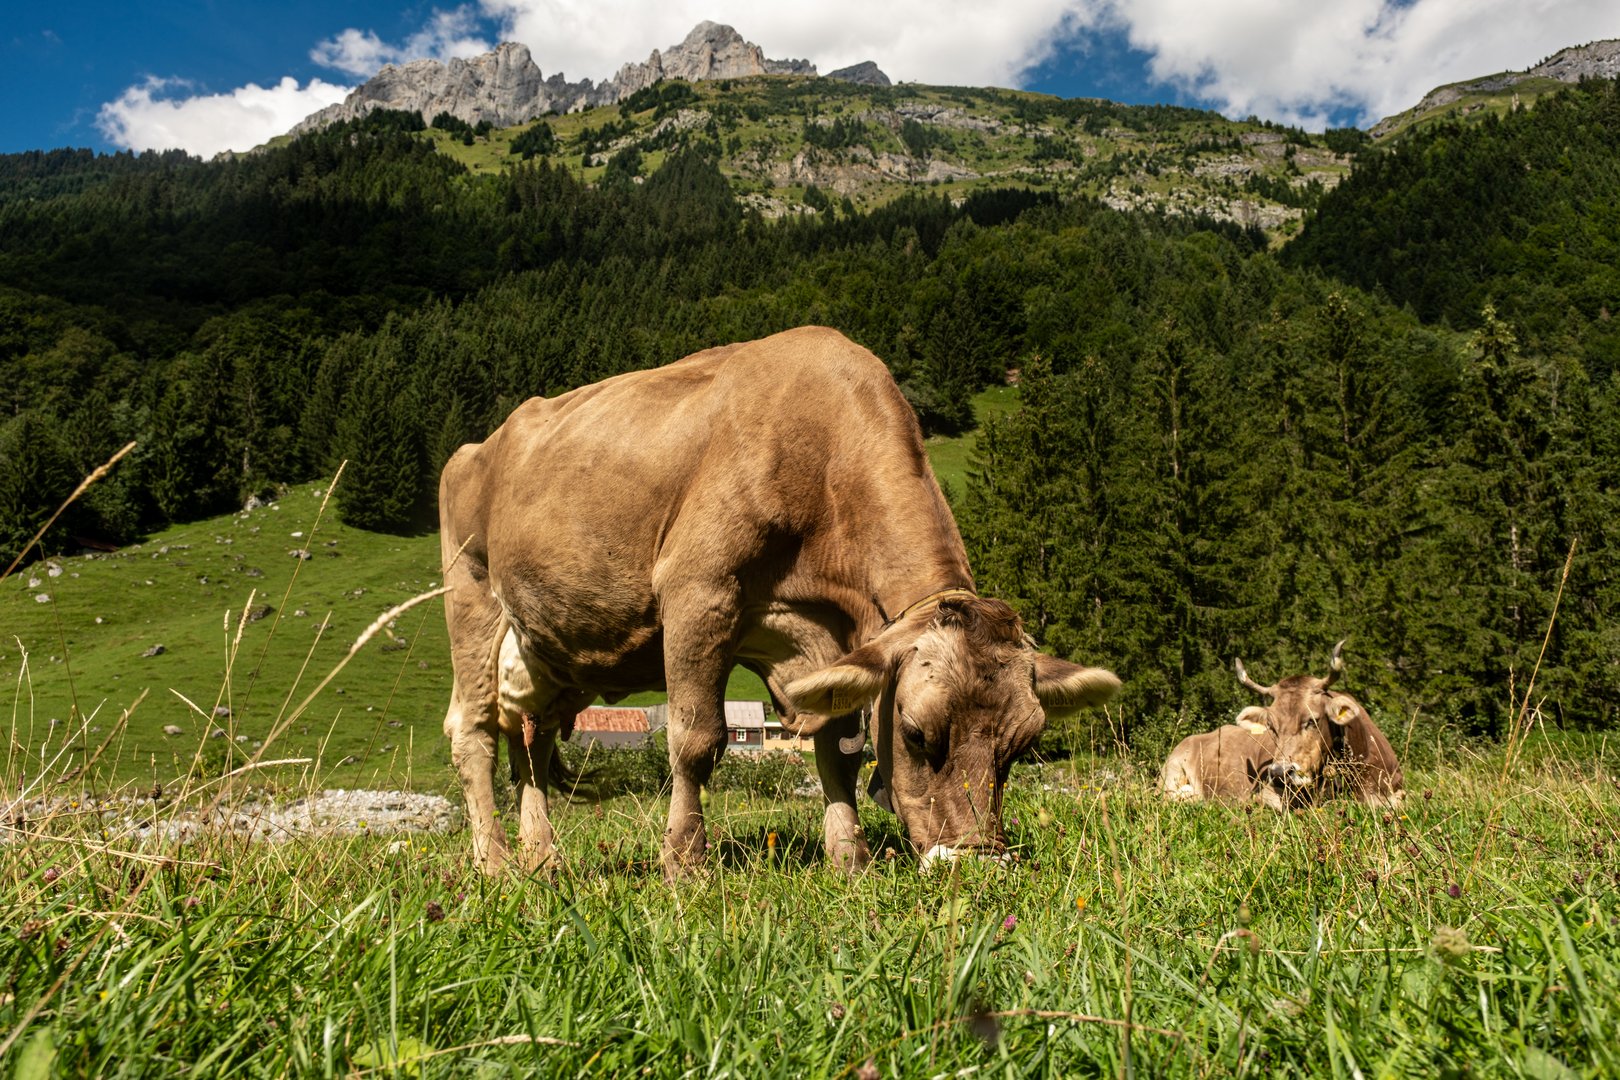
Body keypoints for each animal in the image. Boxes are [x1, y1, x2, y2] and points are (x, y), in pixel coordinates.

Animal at [437, 327, 1121, 879]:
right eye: (915, 732)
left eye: (1023, 746)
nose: (977, 862)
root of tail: (479, 445)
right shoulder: (699, 592)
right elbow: (697, 739)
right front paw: (685, 864)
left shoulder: (830, 638)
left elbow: (840, 748)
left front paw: (850, 859)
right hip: (471, 600)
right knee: (474, 731)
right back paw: (496, 864)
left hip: (554, 647)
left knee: (531, 737)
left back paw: (543, 859)